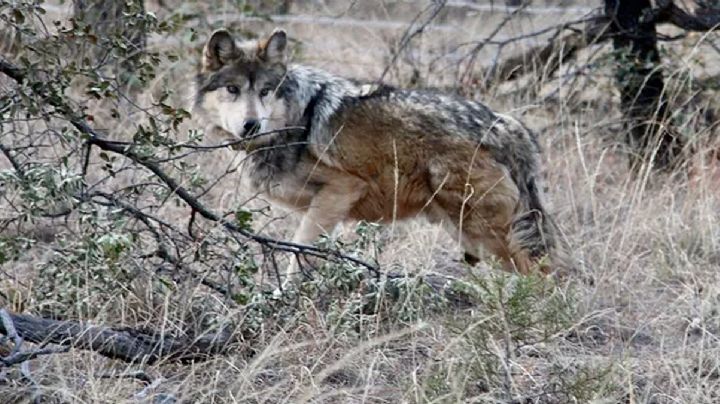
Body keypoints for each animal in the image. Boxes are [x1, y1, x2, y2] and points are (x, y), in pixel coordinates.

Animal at [193, 28, 571, 281]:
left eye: (265, 91)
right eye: (232, 89)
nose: (251, 125)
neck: (293, 123)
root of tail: (507, 125)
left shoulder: (341, 190)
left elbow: (299, 254)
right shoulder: (326, 207)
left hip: (484, 231)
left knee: (548, 272)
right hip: (471, 236)